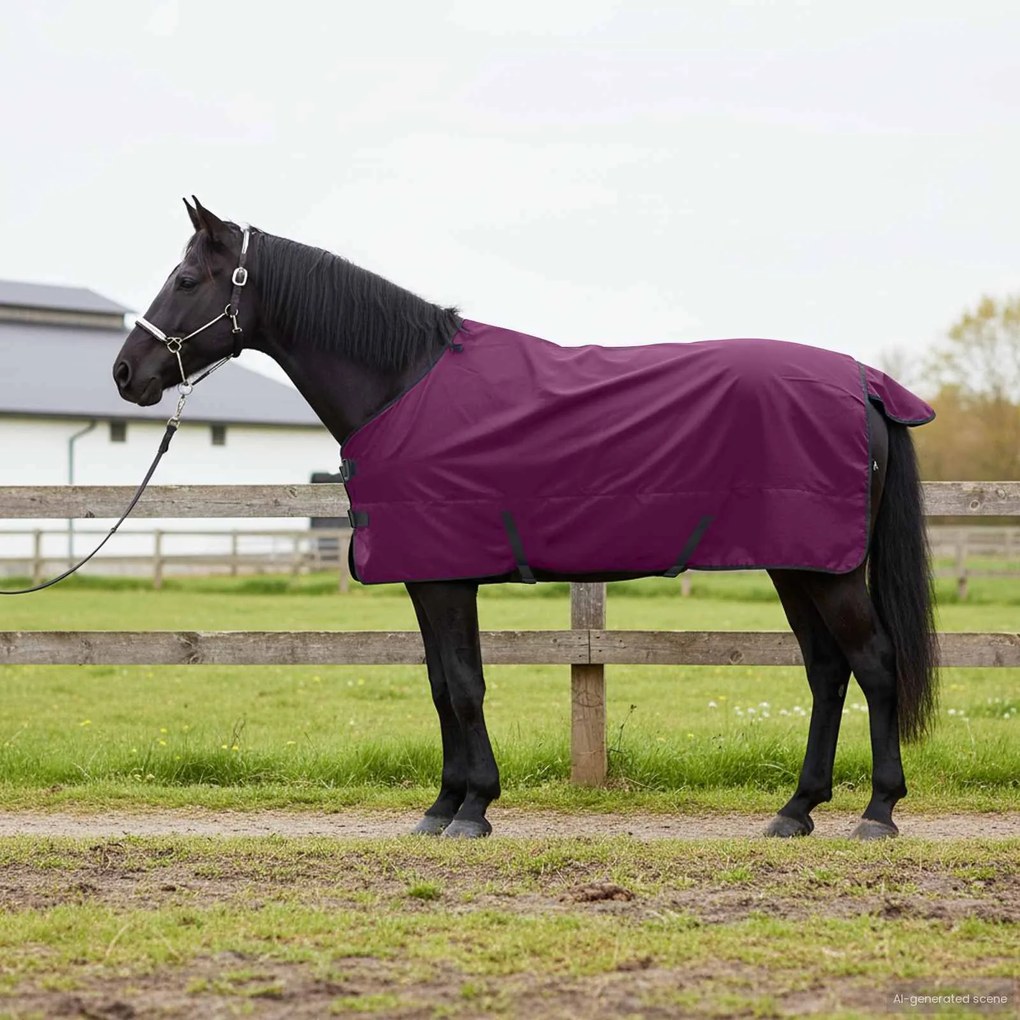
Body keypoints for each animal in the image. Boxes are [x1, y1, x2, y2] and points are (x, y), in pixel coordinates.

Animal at [112, 198, 938, 840]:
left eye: (186, 280)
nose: (126, 373)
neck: (401, 383)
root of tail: (864, 383)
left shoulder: (445, 579)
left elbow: (463, 687)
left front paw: (472, 807)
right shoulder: (431, 578)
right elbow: (442, 685)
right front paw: (444, 805)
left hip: (826, 572)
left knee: (874, 664)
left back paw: (878, 811)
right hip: (797, 565)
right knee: (827, 671)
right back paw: (796, 810)